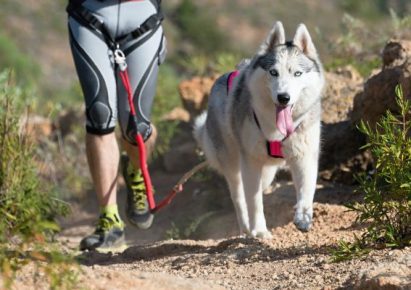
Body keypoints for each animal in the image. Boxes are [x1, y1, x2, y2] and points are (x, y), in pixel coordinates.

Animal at [193, 21, 326, 237]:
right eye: (273, 72)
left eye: (297, 73)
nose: (283, 97)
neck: (277, 132)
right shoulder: (251, 161)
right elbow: (254, 202)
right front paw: (260, 231)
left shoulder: (304, 156)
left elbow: (306, 190)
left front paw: (303, 217)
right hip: (233, 164)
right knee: (239, 197)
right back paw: (246, 229)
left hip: (268, 172)